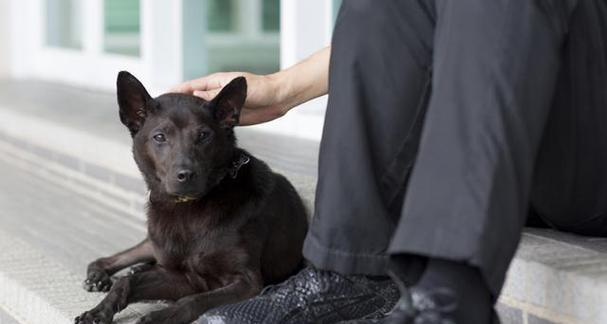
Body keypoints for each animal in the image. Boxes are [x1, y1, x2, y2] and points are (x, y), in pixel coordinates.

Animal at [76, 72, 312, 322]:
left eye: (203, 135)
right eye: (159, 137)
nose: (185, 175)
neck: (186, 208)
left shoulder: (246, 283)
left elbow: (193, 300)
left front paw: (160, 317)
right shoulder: (184, 276)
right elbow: (125, 283)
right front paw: (98, 311)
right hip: (155, 240)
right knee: (112, 260)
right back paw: (100, 275)